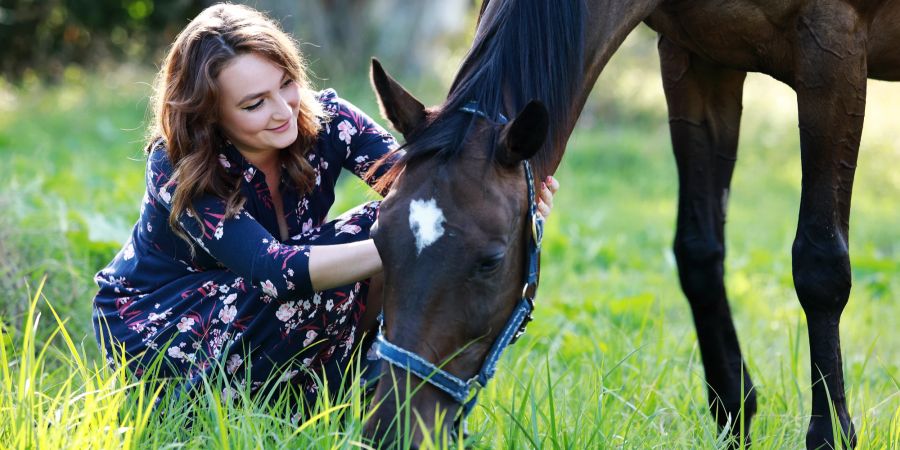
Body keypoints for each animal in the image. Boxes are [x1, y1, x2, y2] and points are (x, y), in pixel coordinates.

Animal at [360, 0, 900, 446]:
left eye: (490, 261)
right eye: (380, 239)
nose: (388, 428)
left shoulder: (832, 53)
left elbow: (820, 267)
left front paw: (831, 436)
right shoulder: (697, 61)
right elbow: (699, 254)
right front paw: (734, 417)